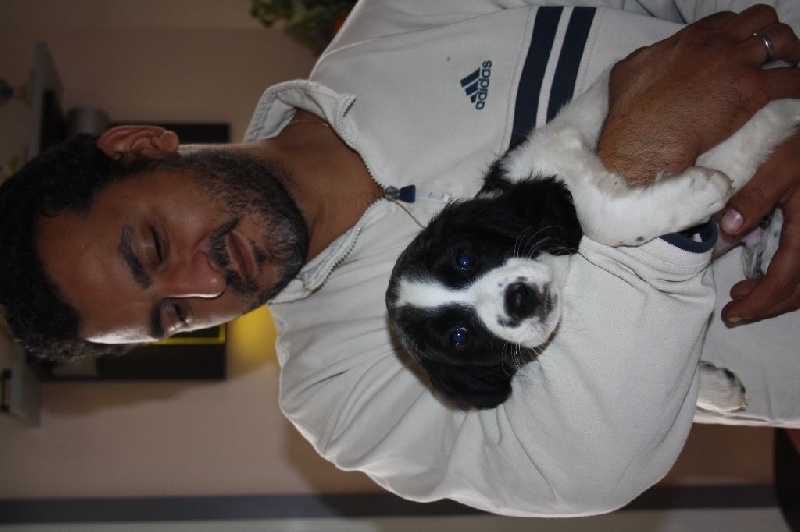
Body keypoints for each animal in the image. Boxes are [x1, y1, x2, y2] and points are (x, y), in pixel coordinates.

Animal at [385, 69, 797, 410]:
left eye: (465, 258)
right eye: (459, 337)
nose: (518, 301)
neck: (560, 270)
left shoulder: (553, 149)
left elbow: (599, 220)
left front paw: (707, 187)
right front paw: (718, 388)